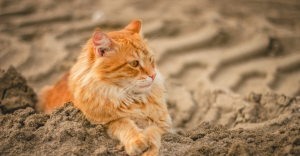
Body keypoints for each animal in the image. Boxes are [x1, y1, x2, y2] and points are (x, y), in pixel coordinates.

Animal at [38, 20, 171, 155]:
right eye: (134, 64)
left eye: (150, 59)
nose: (153, 75)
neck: (132, 98)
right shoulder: (98, 124)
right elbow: (122, 122)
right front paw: (137, 141)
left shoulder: (164, 125)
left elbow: (153, 131)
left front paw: (150, 150)